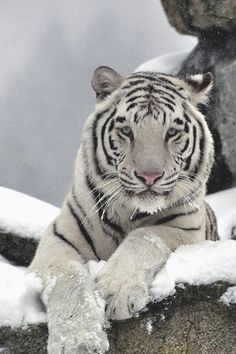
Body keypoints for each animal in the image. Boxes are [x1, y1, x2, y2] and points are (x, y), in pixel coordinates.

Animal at [28, 67, 218, 354]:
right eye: (127, 131)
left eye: (172, 132)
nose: (149, 176)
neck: (130, 212)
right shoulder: (57, 240)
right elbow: (69, 277)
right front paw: (79, 341)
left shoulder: (186, 229)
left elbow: (145, 237)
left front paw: (115, 292)